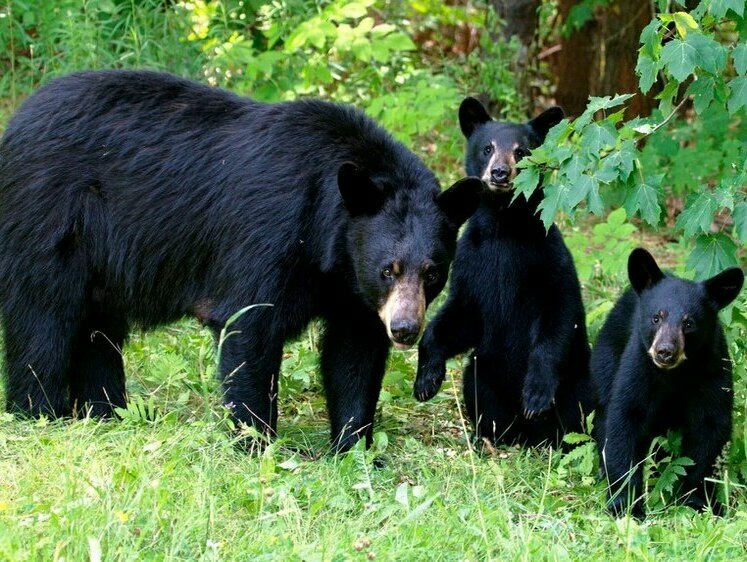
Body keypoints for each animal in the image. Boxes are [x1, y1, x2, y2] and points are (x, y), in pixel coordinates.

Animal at [0, 69, 482, 450]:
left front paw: (353, 446)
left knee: (97, 330)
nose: (404, 329)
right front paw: (256, 440)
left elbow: (354, 352)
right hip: (49, 222)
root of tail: (18, 121)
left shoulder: (350, 284)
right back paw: (39, 412)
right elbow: (248, 326)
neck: (325, 236)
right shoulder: (267, 233)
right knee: (43, 321)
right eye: (388, 269)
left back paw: (107, 412)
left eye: (433, 272)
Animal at [414, 97, 592, 446]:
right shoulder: (471, 262)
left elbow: (559, 315)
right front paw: (426, 378)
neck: (504, 227)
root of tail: (530, 438)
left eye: (522, 151)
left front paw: (536, 394)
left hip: (578, 378)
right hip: (486, 369)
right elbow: (461, 314)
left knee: (578, 410)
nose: (499, 172)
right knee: (478, 384)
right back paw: (490, 438)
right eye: (487, 147)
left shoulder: (548, 260)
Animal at [592, 248, 744, 516]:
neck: (675, 375)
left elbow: (709, 429)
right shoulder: (638, 367)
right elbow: (625, 420)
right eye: (656, 318)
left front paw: (698, 501)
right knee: (603, 415)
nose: (665, 351)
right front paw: (625, 505)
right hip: (605, 361)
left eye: (689, 322)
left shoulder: (712, 369)